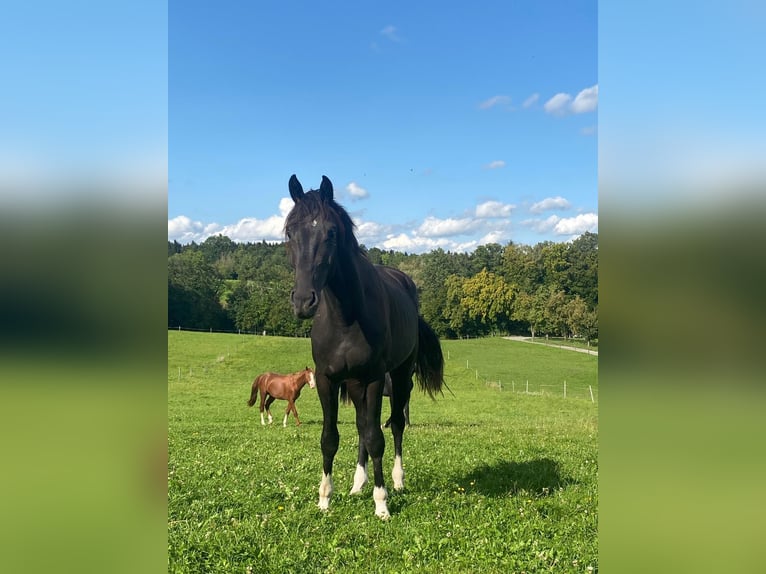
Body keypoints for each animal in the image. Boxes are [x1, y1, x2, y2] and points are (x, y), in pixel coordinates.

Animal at [285, 174, 444, 519]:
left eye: (330, 233)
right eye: (290, 233)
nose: (303, 301)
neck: (345, 318)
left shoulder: (372, 379)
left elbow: (376, 437)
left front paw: (381, 502)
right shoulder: (328, 380)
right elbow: (330, 438)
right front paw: (324, 498)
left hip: (399, 378)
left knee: (394, 426)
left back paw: (397, 481)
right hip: (356, 385)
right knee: (360, 426)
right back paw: (358, 483)